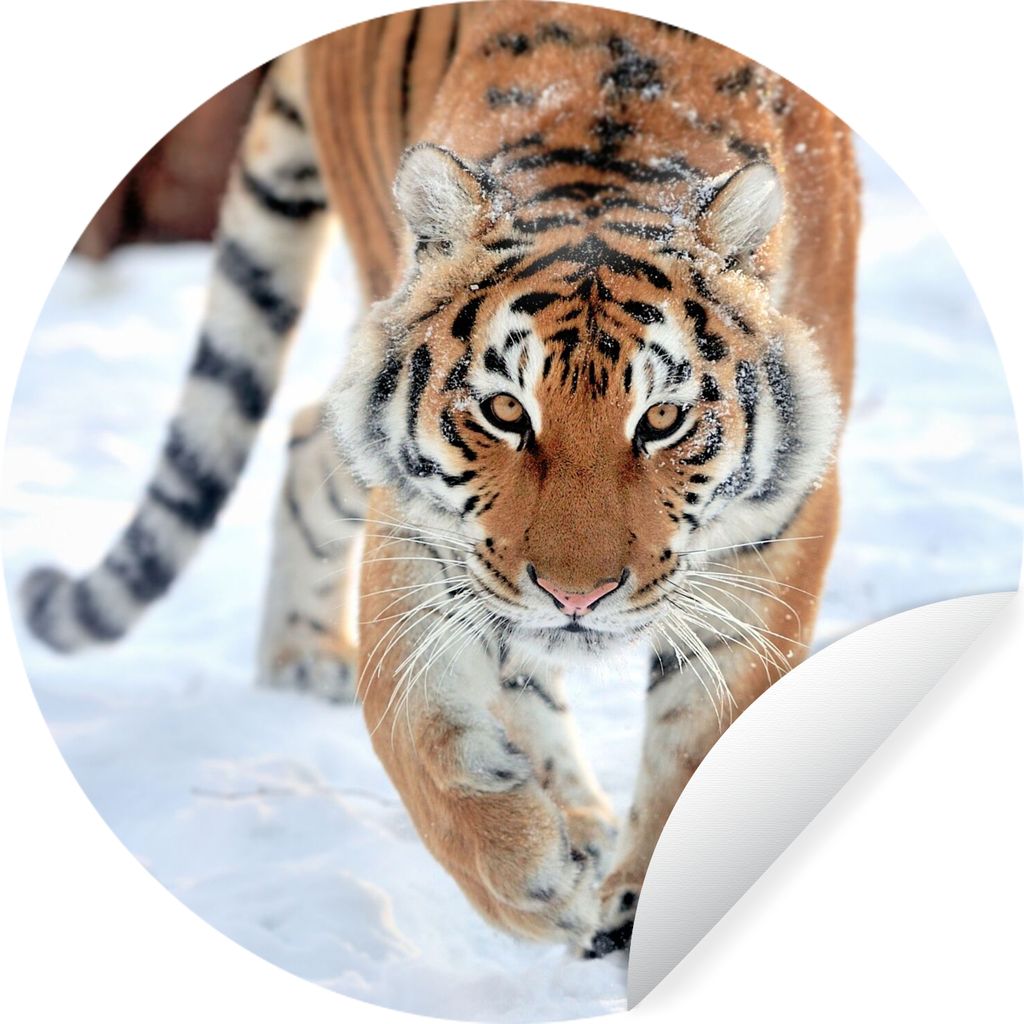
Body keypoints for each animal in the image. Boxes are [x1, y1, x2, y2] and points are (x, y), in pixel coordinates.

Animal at [20, 1, 859, 957]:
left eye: (660, 420)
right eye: (503, 411)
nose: (576, 597)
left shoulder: (782, 528)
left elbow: (705, 736)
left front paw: (639, 902)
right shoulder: (424, 528)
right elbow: (417, 726)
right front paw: (532, 879)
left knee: (308, 439)